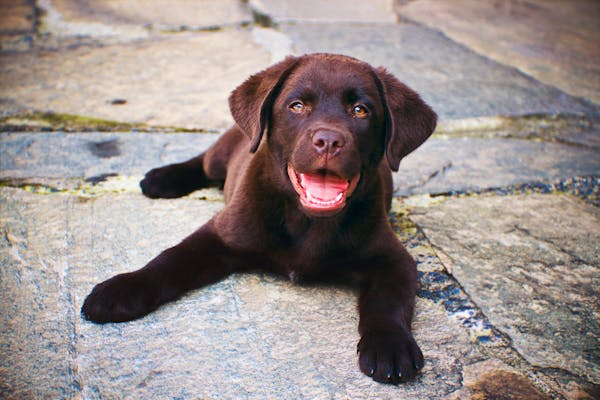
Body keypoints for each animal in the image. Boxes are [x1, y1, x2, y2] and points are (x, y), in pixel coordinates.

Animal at [81, 54, 436, 384]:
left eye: (361, 110)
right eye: (297, 106)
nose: (328, 141)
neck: (308, 222)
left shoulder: (393, 258)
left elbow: (388, 300)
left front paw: (391, 345)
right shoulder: (220, 234)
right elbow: (169, 260)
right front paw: (121, 289)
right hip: (221, 155)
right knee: (203, 161)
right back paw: (162, 179)